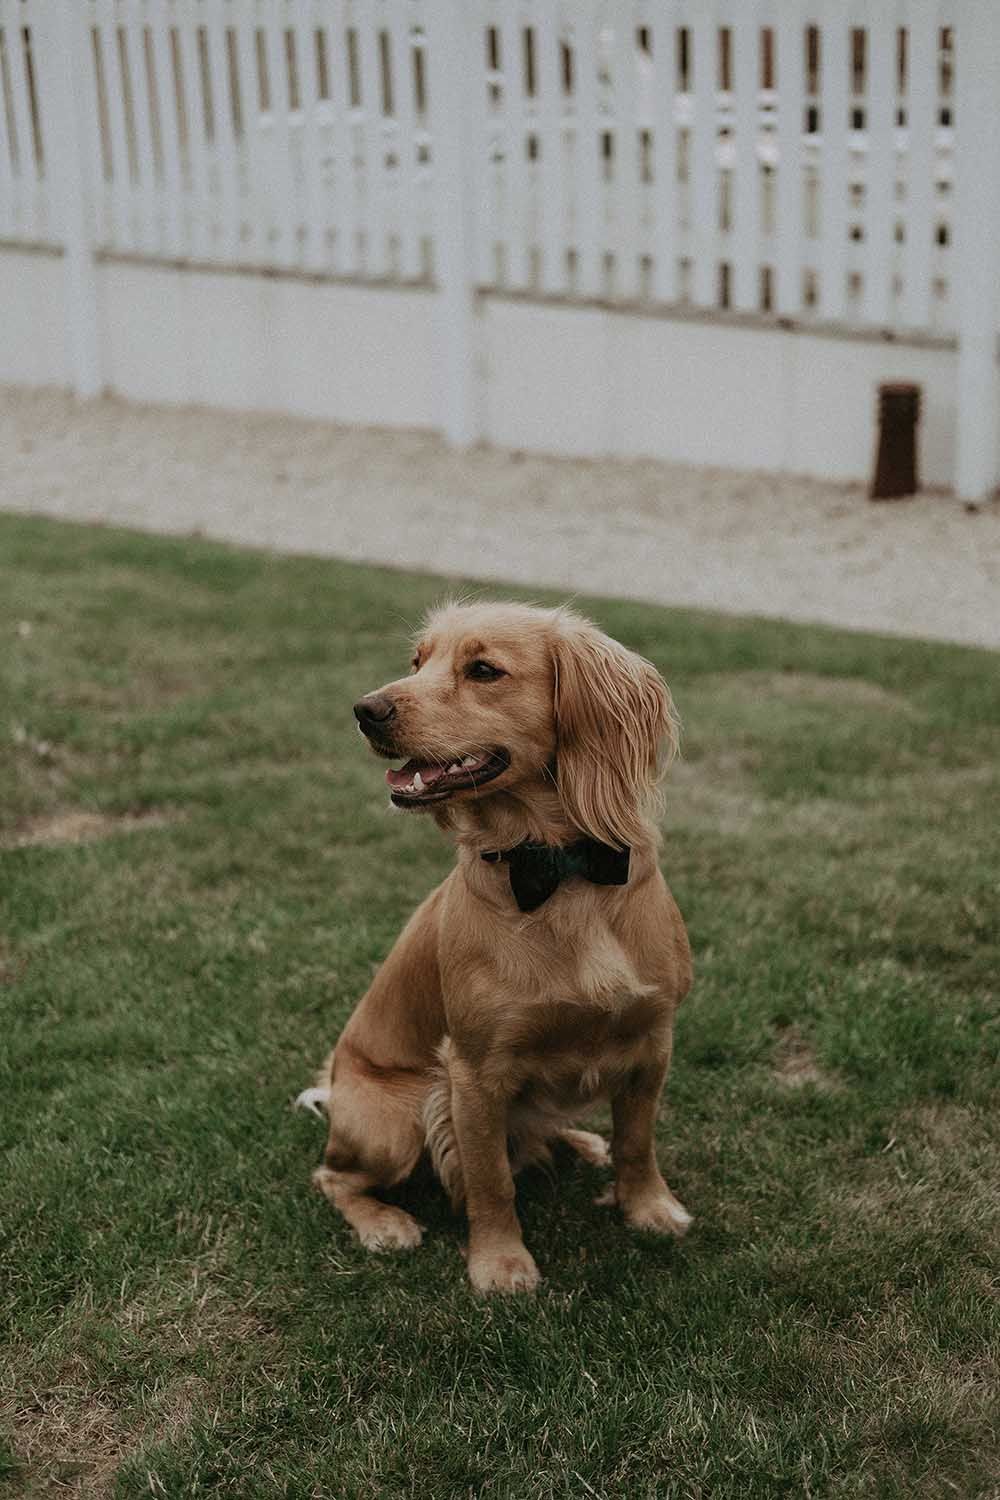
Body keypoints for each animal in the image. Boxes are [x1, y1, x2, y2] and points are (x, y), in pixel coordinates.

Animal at [299, 600, 692, 1294]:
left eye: (483, 670)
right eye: (417, 662)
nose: (365, 710)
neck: (560, 871)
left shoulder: (652, 1042)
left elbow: (638, 1144)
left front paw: (649, 1207)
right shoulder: (474, 1073)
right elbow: (490, 1180)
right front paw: (501, 1264)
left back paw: (581, 1142)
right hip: (395, 1119)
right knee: (333, 1175)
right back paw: (383, 1223)